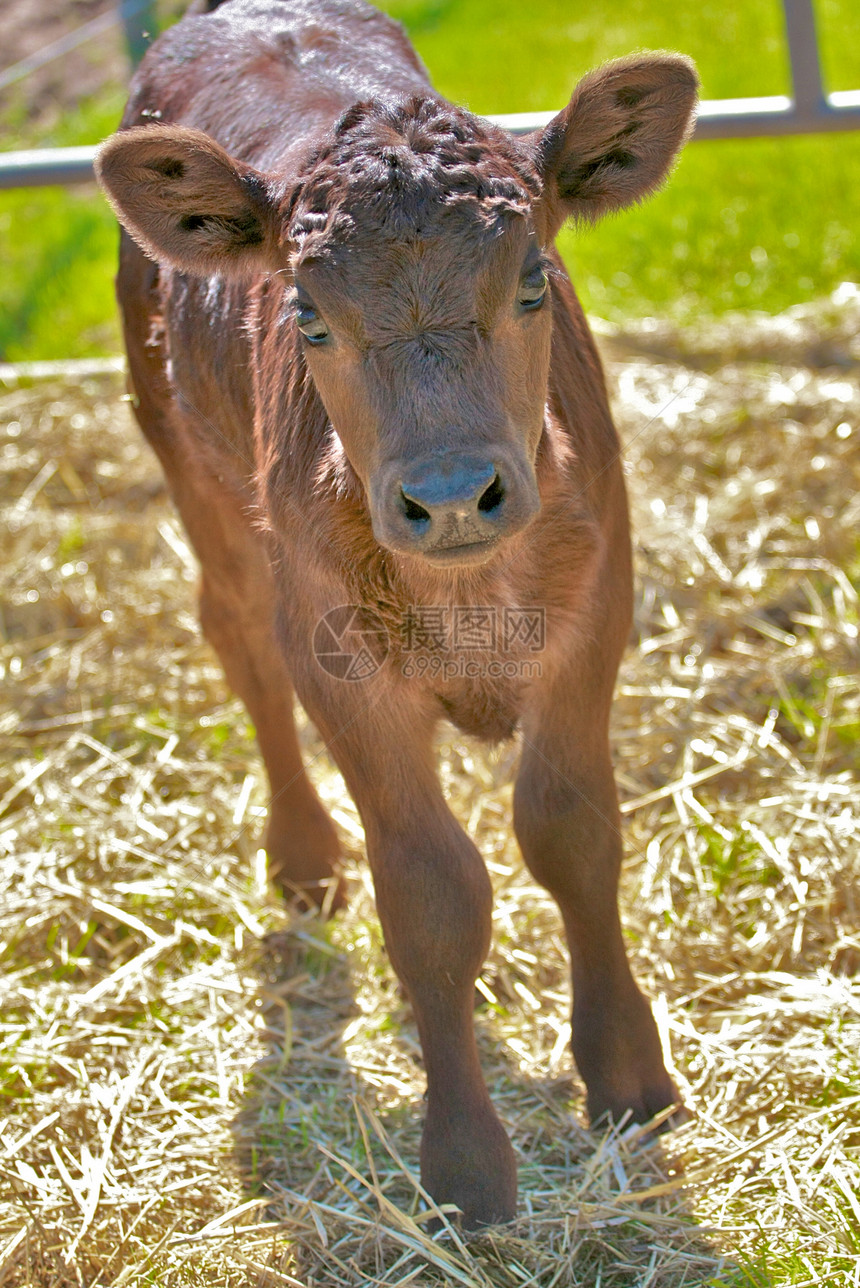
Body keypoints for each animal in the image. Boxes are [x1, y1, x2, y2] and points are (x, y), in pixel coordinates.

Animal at [95, 0, 700, 1226]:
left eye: (532, 279)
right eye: (308, 315)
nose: (452, 493)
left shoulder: (594, 612)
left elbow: (571, 835)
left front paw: (626, 1075)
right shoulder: (338, 659)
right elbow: (429, 894)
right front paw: (465, 1167)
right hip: (191, 470)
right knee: (237, 638)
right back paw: (302, 854)